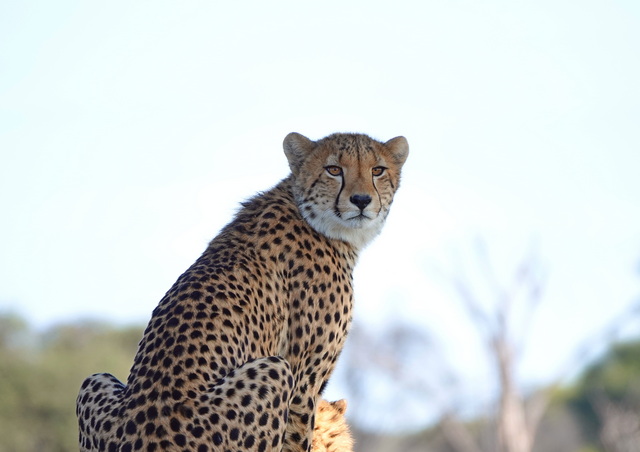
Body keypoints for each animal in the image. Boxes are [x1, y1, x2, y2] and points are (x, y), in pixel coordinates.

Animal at [76, 131, 409, 452]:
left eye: (377, 170)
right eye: (334, 169)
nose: (362, 200)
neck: (316, 219)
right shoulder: (302, 382)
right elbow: (299, 437)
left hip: (93, 380)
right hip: (274, 369)